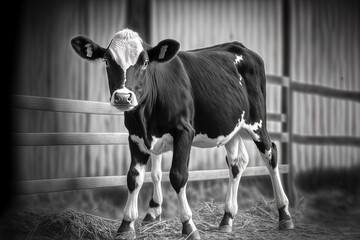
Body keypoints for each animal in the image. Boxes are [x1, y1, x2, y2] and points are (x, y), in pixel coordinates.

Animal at [71, 29, 294, 239]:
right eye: (107, 61)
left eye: (145, 62)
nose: (123, 97)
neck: (146, 119)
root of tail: (241, 47)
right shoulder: (135, 137)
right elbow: (134, 178)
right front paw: (126, 226)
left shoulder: (184, 131)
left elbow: (178, 175)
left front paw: (188, 225)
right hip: (231, 128)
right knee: (237, 162)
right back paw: (227, 218)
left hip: (257, 122)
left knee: (270, 154)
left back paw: (284, 214)